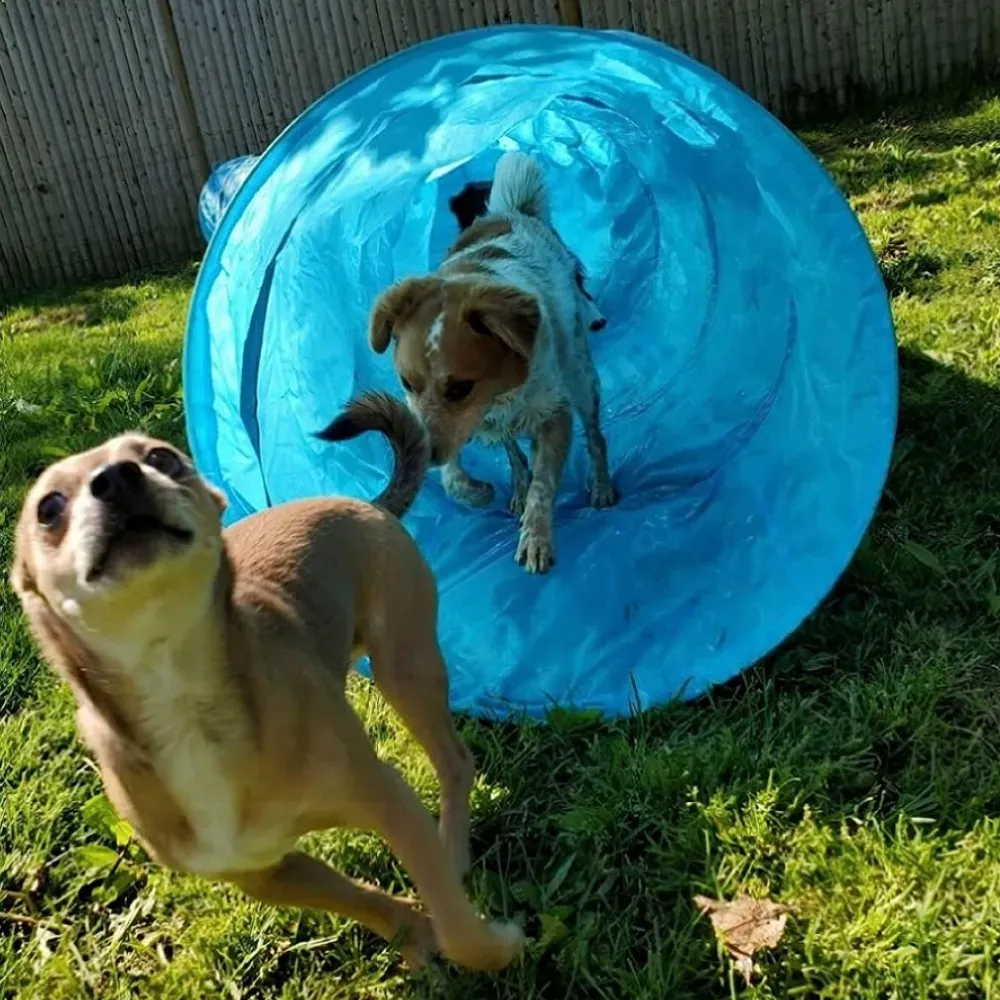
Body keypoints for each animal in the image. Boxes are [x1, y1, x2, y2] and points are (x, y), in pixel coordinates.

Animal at [11, 394, 524, 972]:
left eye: (162, 458)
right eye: (48, 508)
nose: (118, 478)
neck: (180, 695)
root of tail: (365, 500)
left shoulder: (389, 799)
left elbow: (457, 926)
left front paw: (496, 944)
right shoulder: (267, 873)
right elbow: (366, 902)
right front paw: (413, 935)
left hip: (405, 666)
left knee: (455, 761)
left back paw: (453, 848)